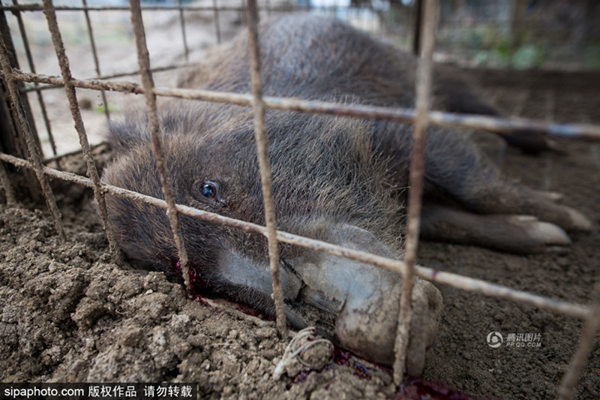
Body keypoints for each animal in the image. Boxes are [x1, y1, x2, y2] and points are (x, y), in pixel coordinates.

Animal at [101, 14, 591, 376]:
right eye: (194, 275)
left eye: (208, 188)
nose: (363, 331)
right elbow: (449, 219)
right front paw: (549, 237)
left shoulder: (397, 125)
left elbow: (476, 184)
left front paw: (571, 225)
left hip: (430, 74)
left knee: (482, 109)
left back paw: (552, 147)